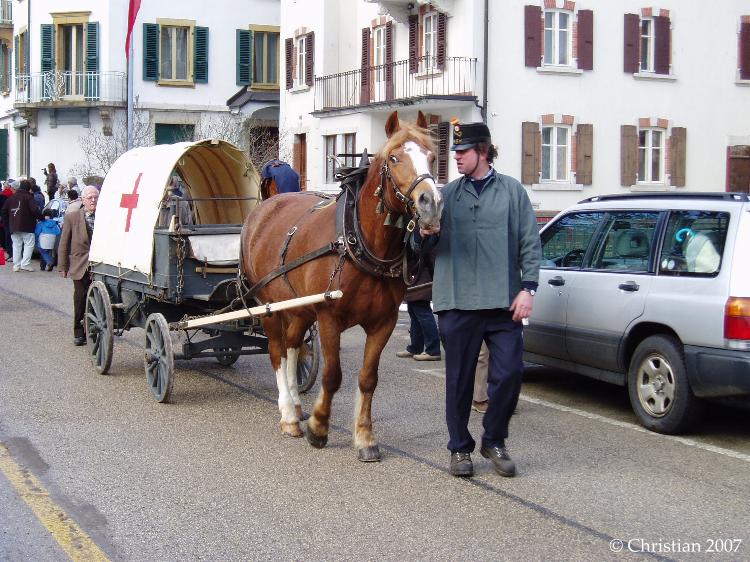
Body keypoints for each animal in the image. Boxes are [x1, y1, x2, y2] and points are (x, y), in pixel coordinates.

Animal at [240, 111, 442, 461]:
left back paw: (296, 403)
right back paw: (288, 414)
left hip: (298, 307)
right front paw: (319, 428)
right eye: (394, 158)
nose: (430, 202)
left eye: (432, 156)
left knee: (293, 346)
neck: (358, 243)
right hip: (269, 306)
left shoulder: (383, 322)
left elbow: (368, 378)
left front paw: (364, 437)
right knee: (278, 351)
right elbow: (332, 375)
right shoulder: (328, 318)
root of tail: (262, 210)